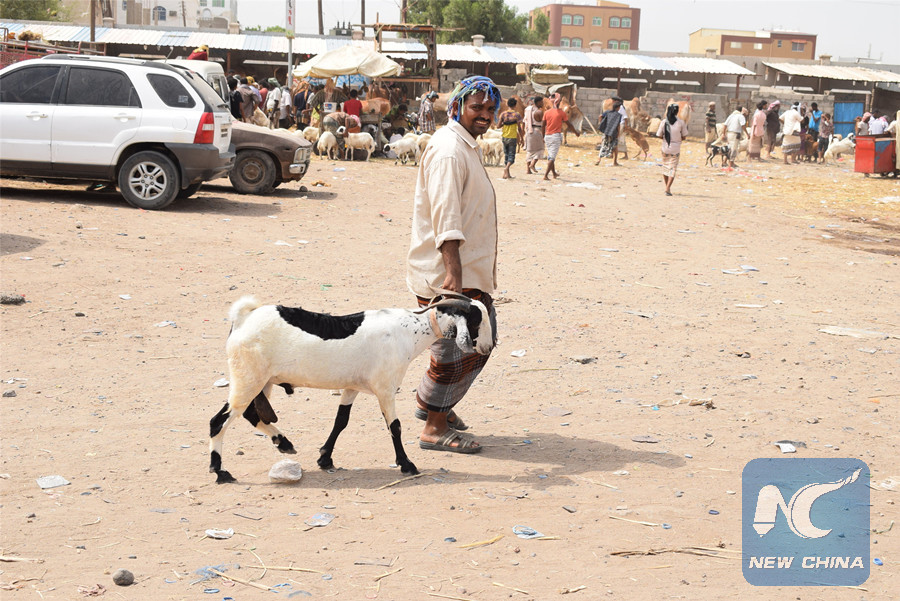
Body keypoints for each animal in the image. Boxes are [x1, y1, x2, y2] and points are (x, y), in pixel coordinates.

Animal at [208, 294, 495, 483]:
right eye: (477, 320)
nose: (488, 346)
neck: (410, 329)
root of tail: (243, 318)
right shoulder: (385, 388)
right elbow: (395, 427)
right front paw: (407, 465)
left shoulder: (351, 387)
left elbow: (341, 421)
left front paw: (325, 458)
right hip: (248, 379)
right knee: (218, 421)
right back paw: (220, 471)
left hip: (261, 382)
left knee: (251, 414)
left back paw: (284, 443)